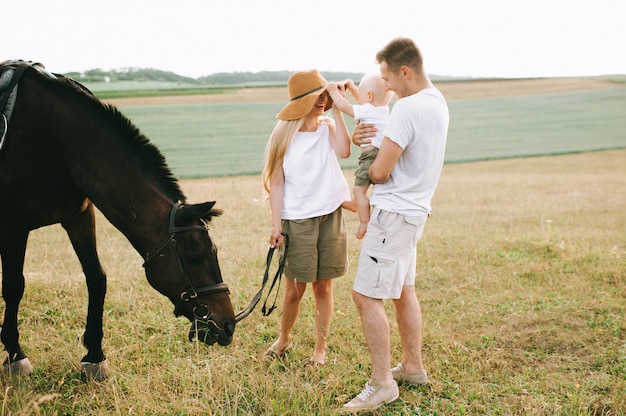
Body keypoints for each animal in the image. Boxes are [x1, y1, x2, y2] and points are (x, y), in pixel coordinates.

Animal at [0, 61, 234, 380]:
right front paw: (15, 355)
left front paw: (94, 356)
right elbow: (14, 286)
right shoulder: (14, 225)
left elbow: (97, 279)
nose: (229, 325)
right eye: (195, 257)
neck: (57, 141)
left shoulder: (79, 217)